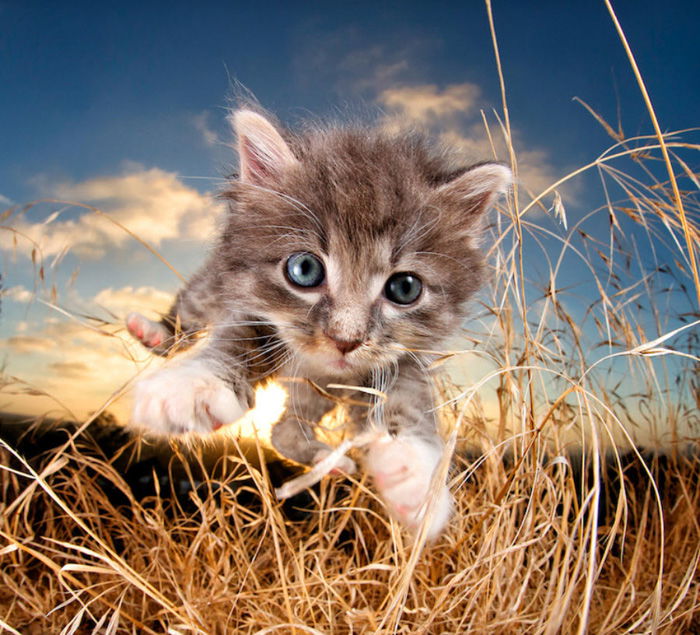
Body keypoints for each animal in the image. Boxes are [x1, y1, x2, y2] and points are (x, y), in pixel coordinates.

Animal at [127, 108, 508, 536]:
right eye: (304, 269)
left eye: (405, 288)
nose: (345, 340)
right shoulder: (254, 314)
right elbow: (235, 343)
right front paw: (190, 386)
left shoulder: (400, 358)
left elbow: (410, 402)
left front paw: (416, 480)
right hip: (211, 288)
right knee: (190, 310)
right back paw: (155, 332)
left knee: (284, 431)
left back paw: (332, 461)